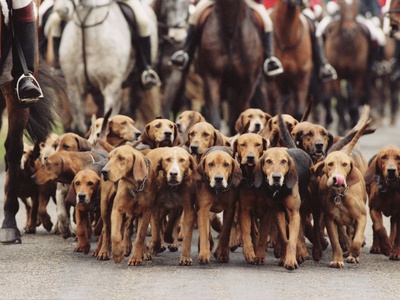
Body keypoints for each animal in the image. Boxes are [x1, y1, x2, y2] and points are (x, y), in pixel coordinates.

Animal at [54, 0, 159, 134]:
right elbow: (80, 127)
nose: (61, 10)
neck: (85, 26)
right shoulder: (75, 88)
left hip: (137, 84)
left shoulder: (112, 87)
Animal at [324, 0, 370, 135]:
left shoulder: (358, 74)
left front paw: (354, 125)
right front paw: (341, 127)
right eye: (341, 4)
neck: (347, 46)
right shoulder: (337, 76)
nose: (349, 30)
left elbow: (354, 103)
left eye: (356, 4)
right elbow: (340, 102)